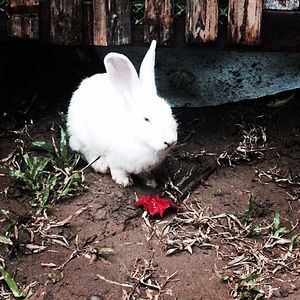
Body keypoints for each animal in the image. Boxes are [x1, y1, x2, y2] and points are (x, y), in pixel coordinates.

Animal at [67, 41, 177, 186]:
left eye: (170, 111)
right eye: (146, 119)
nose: (170, 141)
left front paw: (150, 182)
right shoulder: (114, 156)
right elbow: (117, 169)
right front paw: (124, 181)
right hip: (83, 138)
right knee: (87, 152)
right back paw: (100, 165)